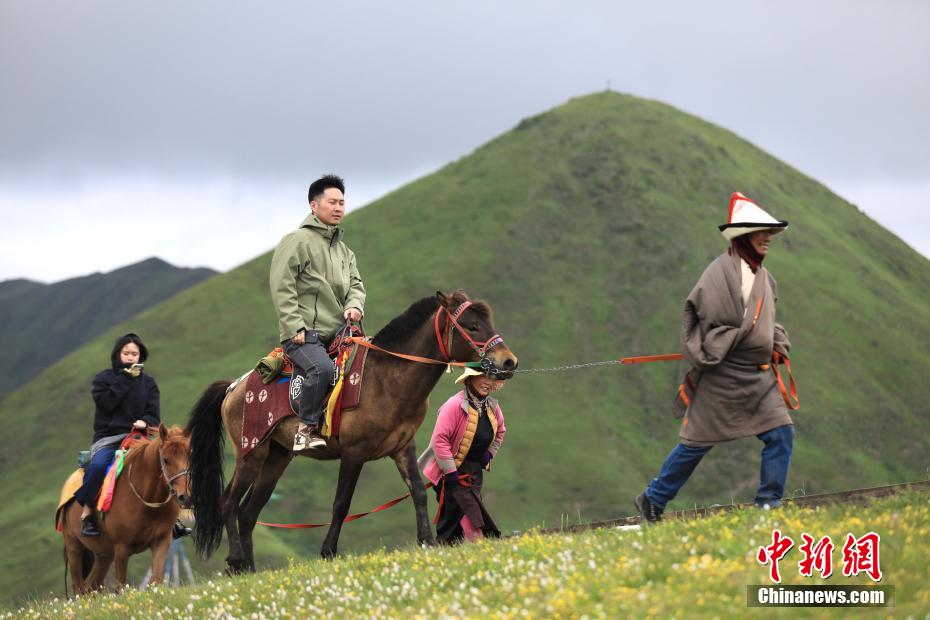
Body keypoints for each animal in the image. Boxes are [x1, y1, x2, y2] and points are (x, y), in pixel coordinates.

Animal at [59, 424, 192, 595]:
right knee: (79, 588)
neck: (147, 501)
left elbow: (155, 580)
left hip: (104, 554)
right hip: (74, 546)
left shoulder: (162, 541)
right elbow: (120, 586)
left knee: (91, 585)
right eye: (166, 459)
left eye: (190, 455)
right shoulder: (122, 548)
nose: (185, 496)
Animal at [186, 290, 518, 572]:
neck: (386, 379)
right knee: (229, 503)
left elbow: (418, 492)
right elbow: (341, 504)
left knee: (248, 513)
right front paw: (328, 551)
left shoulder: (403, 448)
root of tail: (234, 386)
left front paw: (426, 541)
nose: (509, 361)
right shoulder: (354, 452)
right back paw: (236, 560)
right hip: (252, 452)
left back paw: (251, 569)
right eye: (472, 326)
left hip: (277, 457)